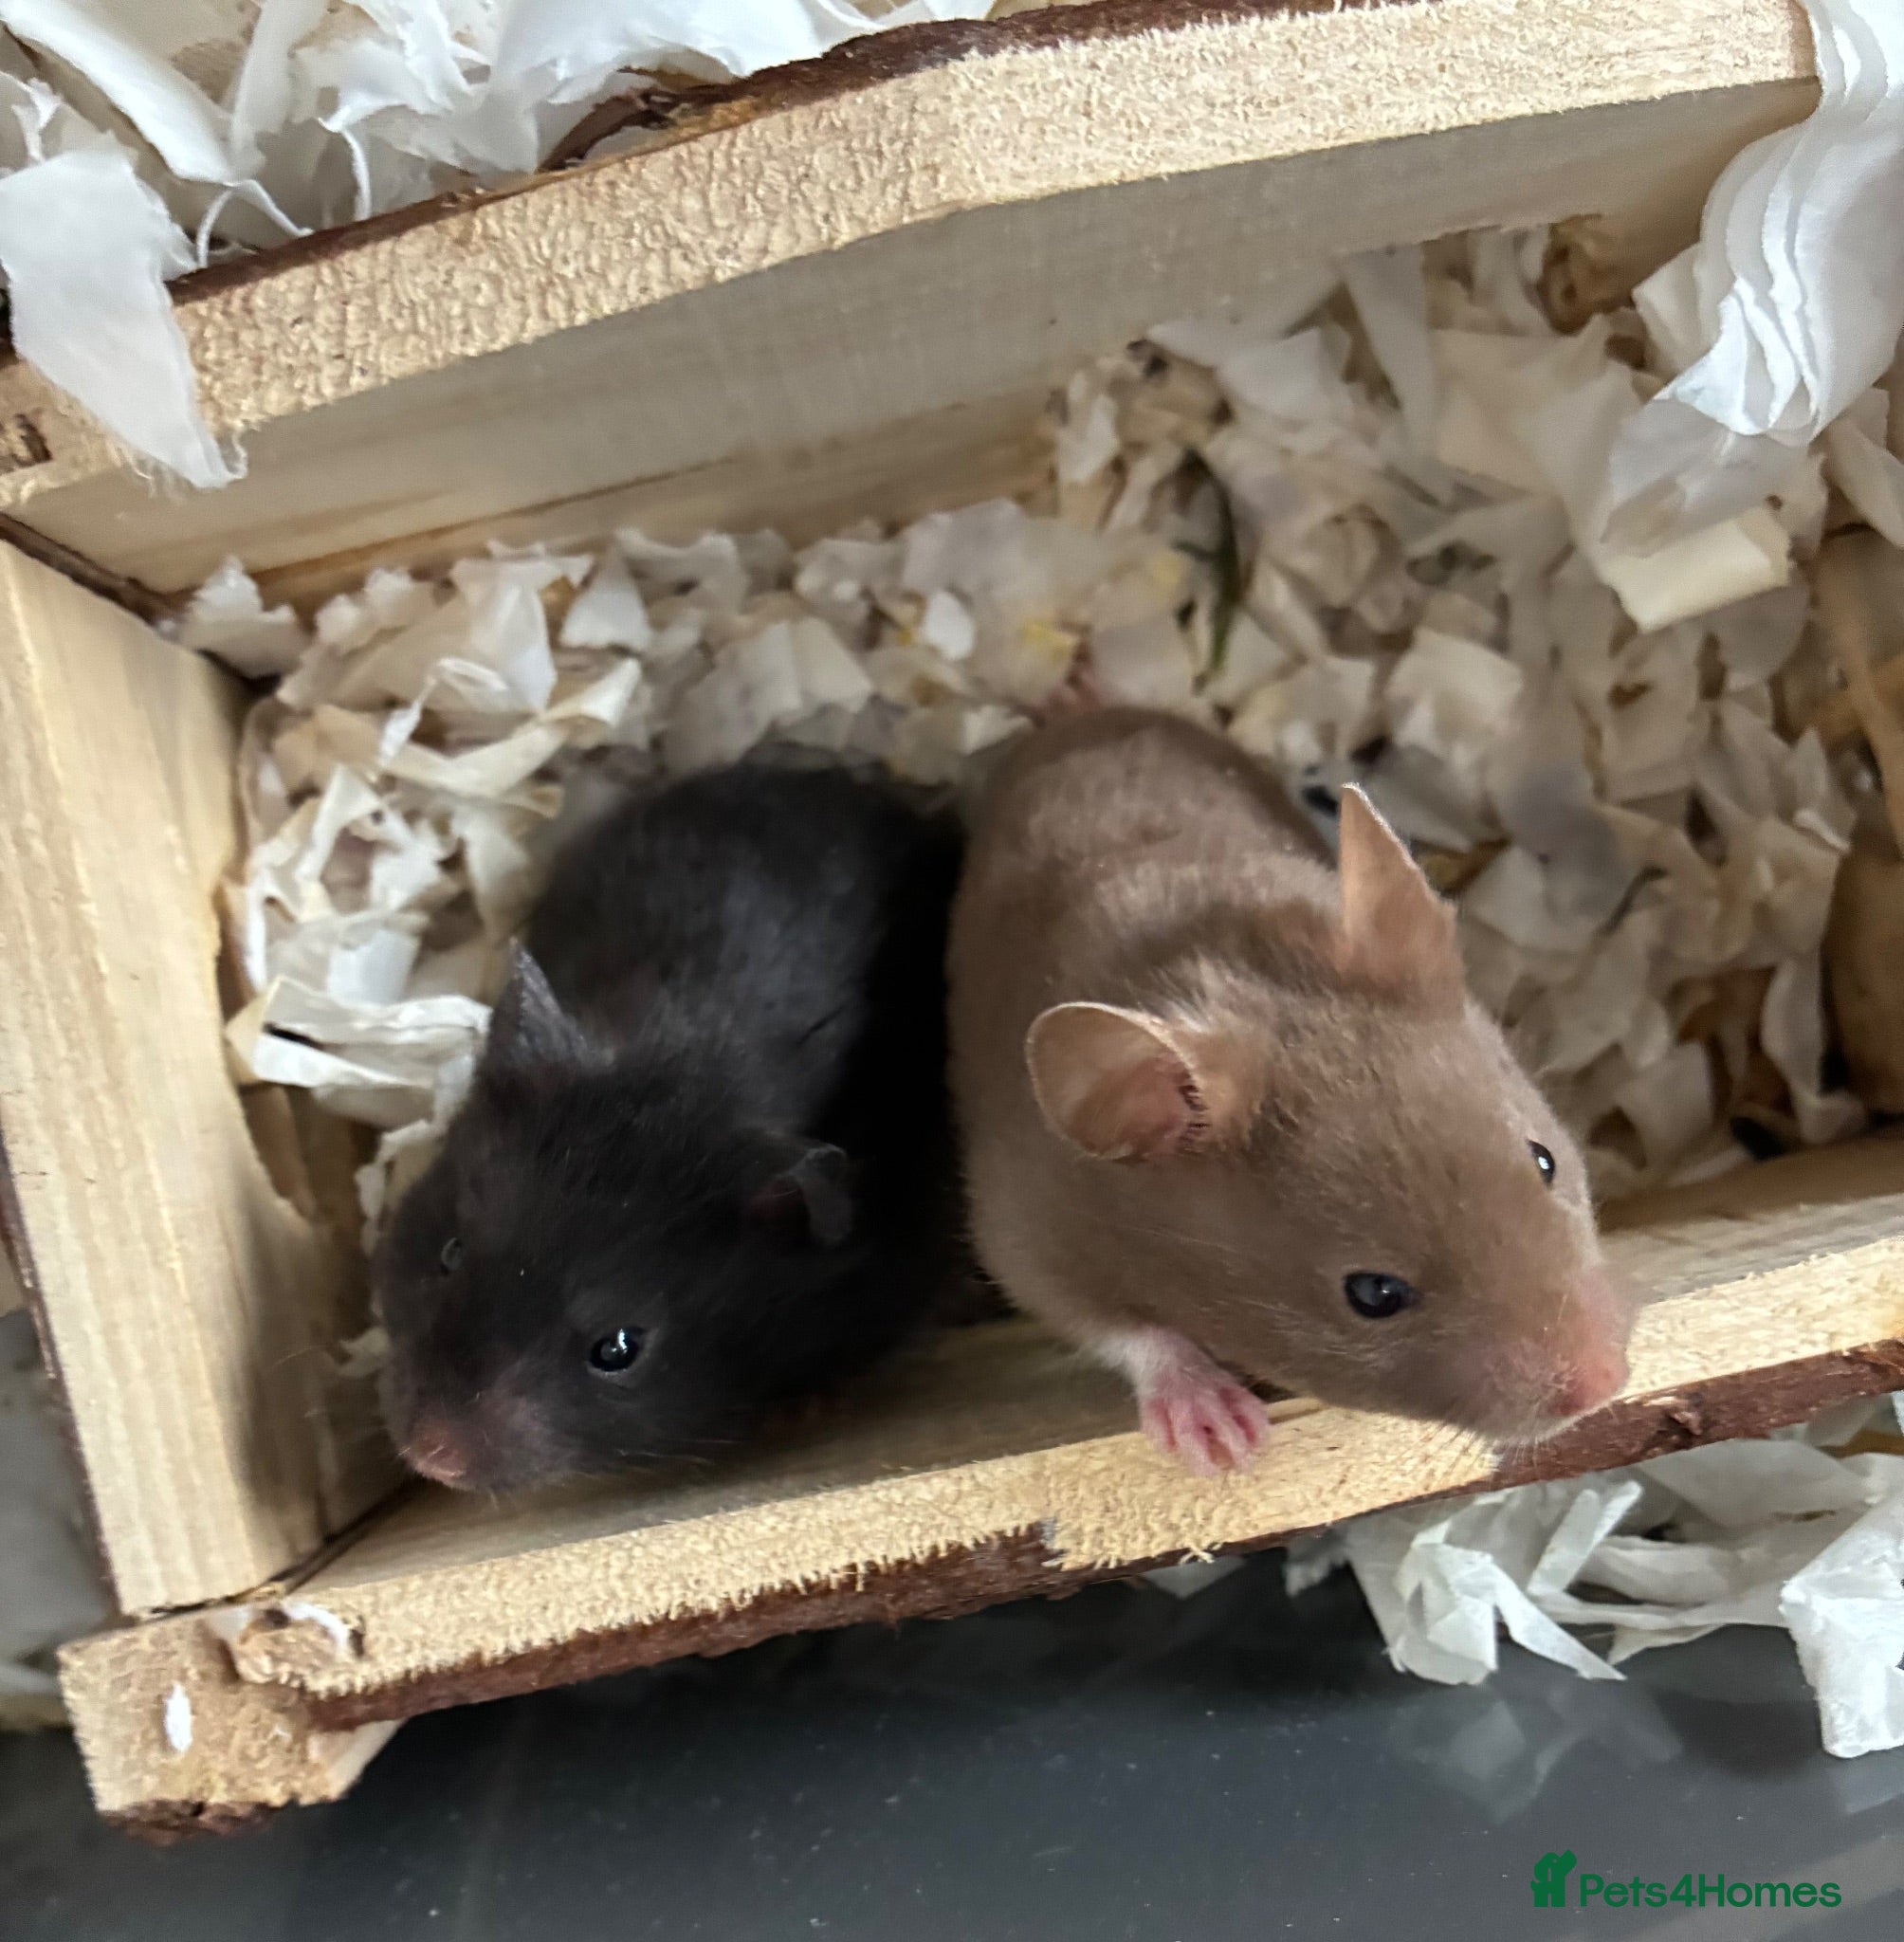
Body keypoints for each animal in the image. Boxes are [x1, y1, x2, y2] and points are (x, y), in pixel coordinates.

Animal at [947, 708, 1635, 1476]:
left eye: (1544, 1160)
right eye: (1373, 1294)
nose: (1607, 1383)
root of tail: (1078, 721)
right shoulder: (1024, 1226)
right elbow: (1120, 1329)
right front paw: (1224, 1443)